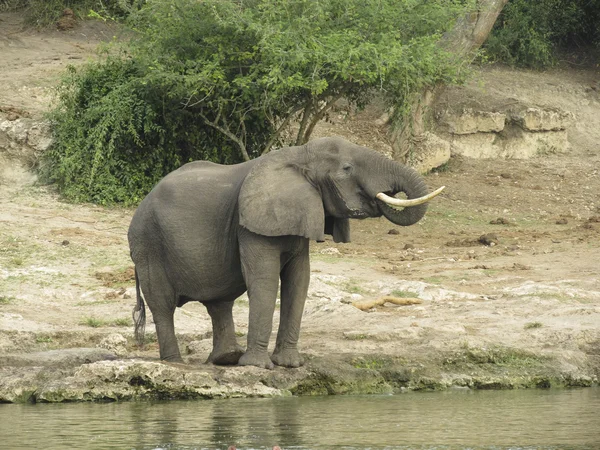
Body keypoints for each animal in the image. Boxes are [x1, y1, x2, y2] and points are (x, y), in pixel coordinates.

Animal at [127, 137, 446, 370]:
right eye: (346, 168)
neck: (299, 155)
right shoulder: (251, 224)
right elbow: (265, 280)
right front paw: (259, 366)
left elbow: (299, 280)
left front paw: (290, 364)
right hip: (147, 243)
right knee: (163, 304)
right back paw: (176, 364)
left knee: (219, 302)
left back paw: (226, 359)